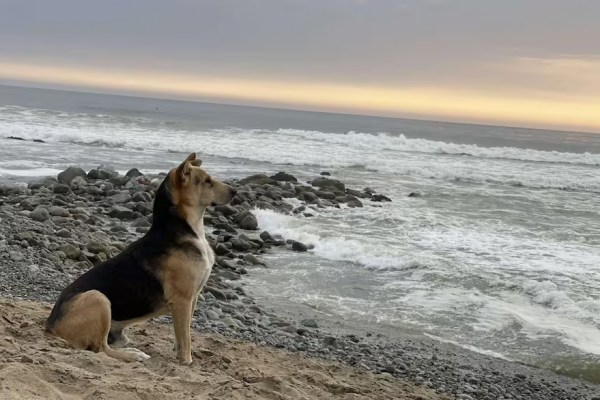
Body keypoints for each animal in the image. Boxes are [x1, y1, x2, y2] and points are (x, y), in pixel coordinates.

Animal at [44, 152, 236, 362]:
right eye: (207, 181)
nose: (235, 192)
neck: (185, 229)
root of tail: (50, 326)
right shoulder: (183, 300)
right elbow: (185, 337)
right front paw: (186, 361)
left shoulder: (192, 299)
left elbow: (181, 334)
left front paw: (178, 352)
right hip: (98, 298)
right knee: (100, 349)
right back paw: (133, 354)